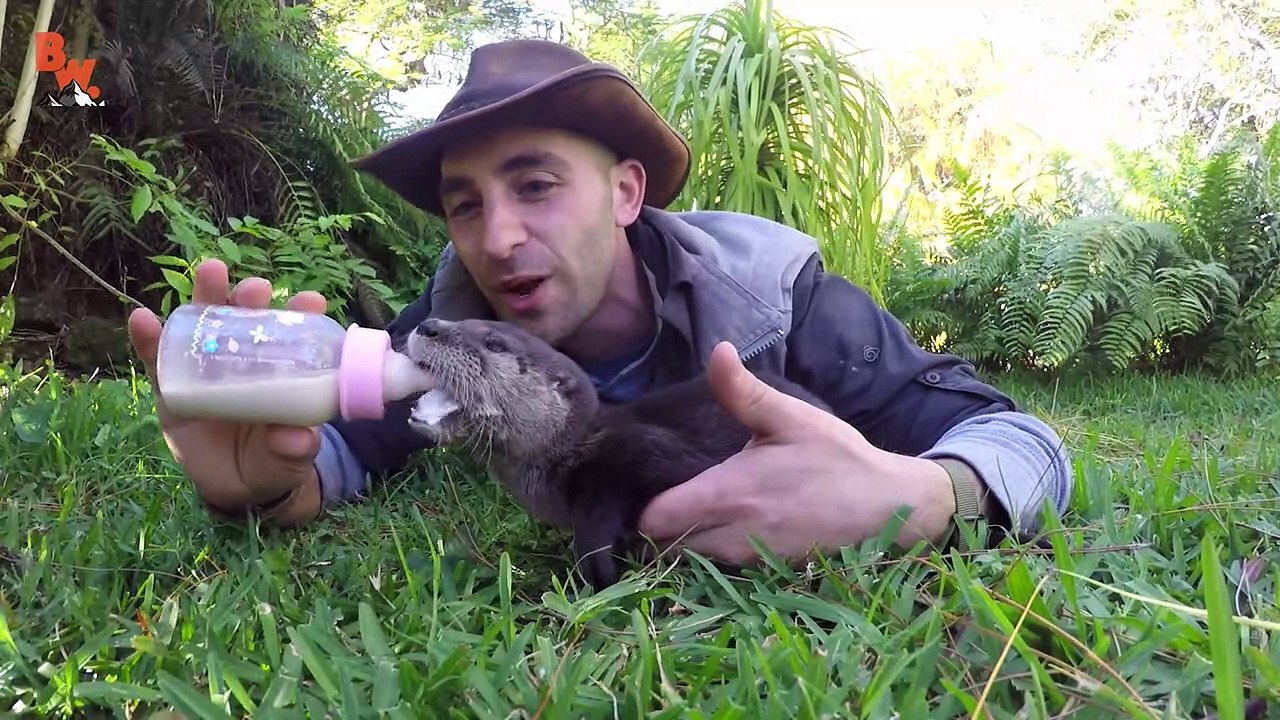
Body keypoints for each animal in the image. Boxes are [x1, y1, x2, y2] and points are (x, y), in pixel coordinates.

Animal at [402, 316, 834, 588]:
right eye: (463, 319)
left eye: (493, 343)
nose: (429, 325)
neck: (570, 452)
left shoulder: (644, 451)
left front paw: (597, 568)